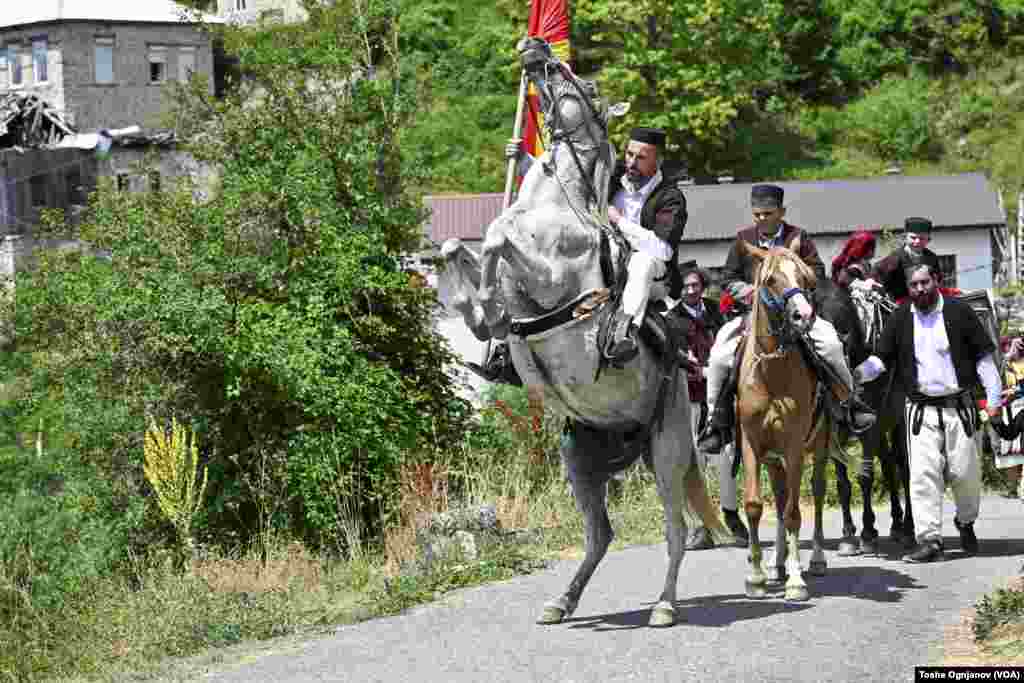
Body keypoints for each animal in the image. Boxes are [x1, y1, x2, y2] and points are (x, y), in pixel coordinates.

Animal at [737, 237, 831, 602]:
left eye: (806, 279)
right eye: (770, 280)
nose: (804, 316)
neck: (770, 371)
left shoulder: (793, 447)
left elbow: (793, 512)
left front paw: (796, 581)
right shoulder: (751, 444)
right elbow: (754, 506)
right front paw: (756, 577)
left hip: (818, 447)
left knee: (815, 493)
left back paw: (814, 560)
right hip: (773, 460)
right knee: (777, 501)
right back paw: (777, 564)